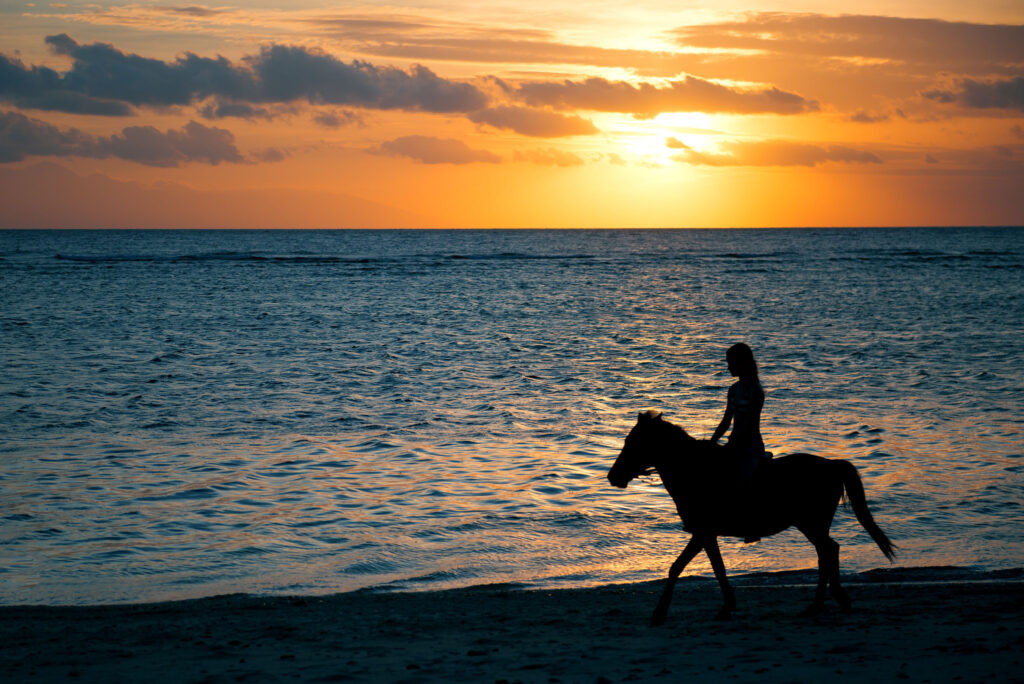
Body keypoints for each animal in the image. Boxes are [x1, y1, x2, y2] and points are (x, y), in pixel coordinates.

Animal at [606, 409, 897, 626]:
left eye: (632, 443)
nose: (612, 476)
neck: (696, 472)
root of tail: (833, 464)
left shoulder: (702, 531)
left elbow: (676, 567)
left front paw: (659, 614)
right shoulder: (707, 534)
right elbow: (718, 568)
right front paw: (727, 606)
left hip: (811, 524)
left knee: (828, 551)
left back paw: (824, 602)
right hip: (813, 525)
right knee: (828, 551)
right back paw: (824, 602)